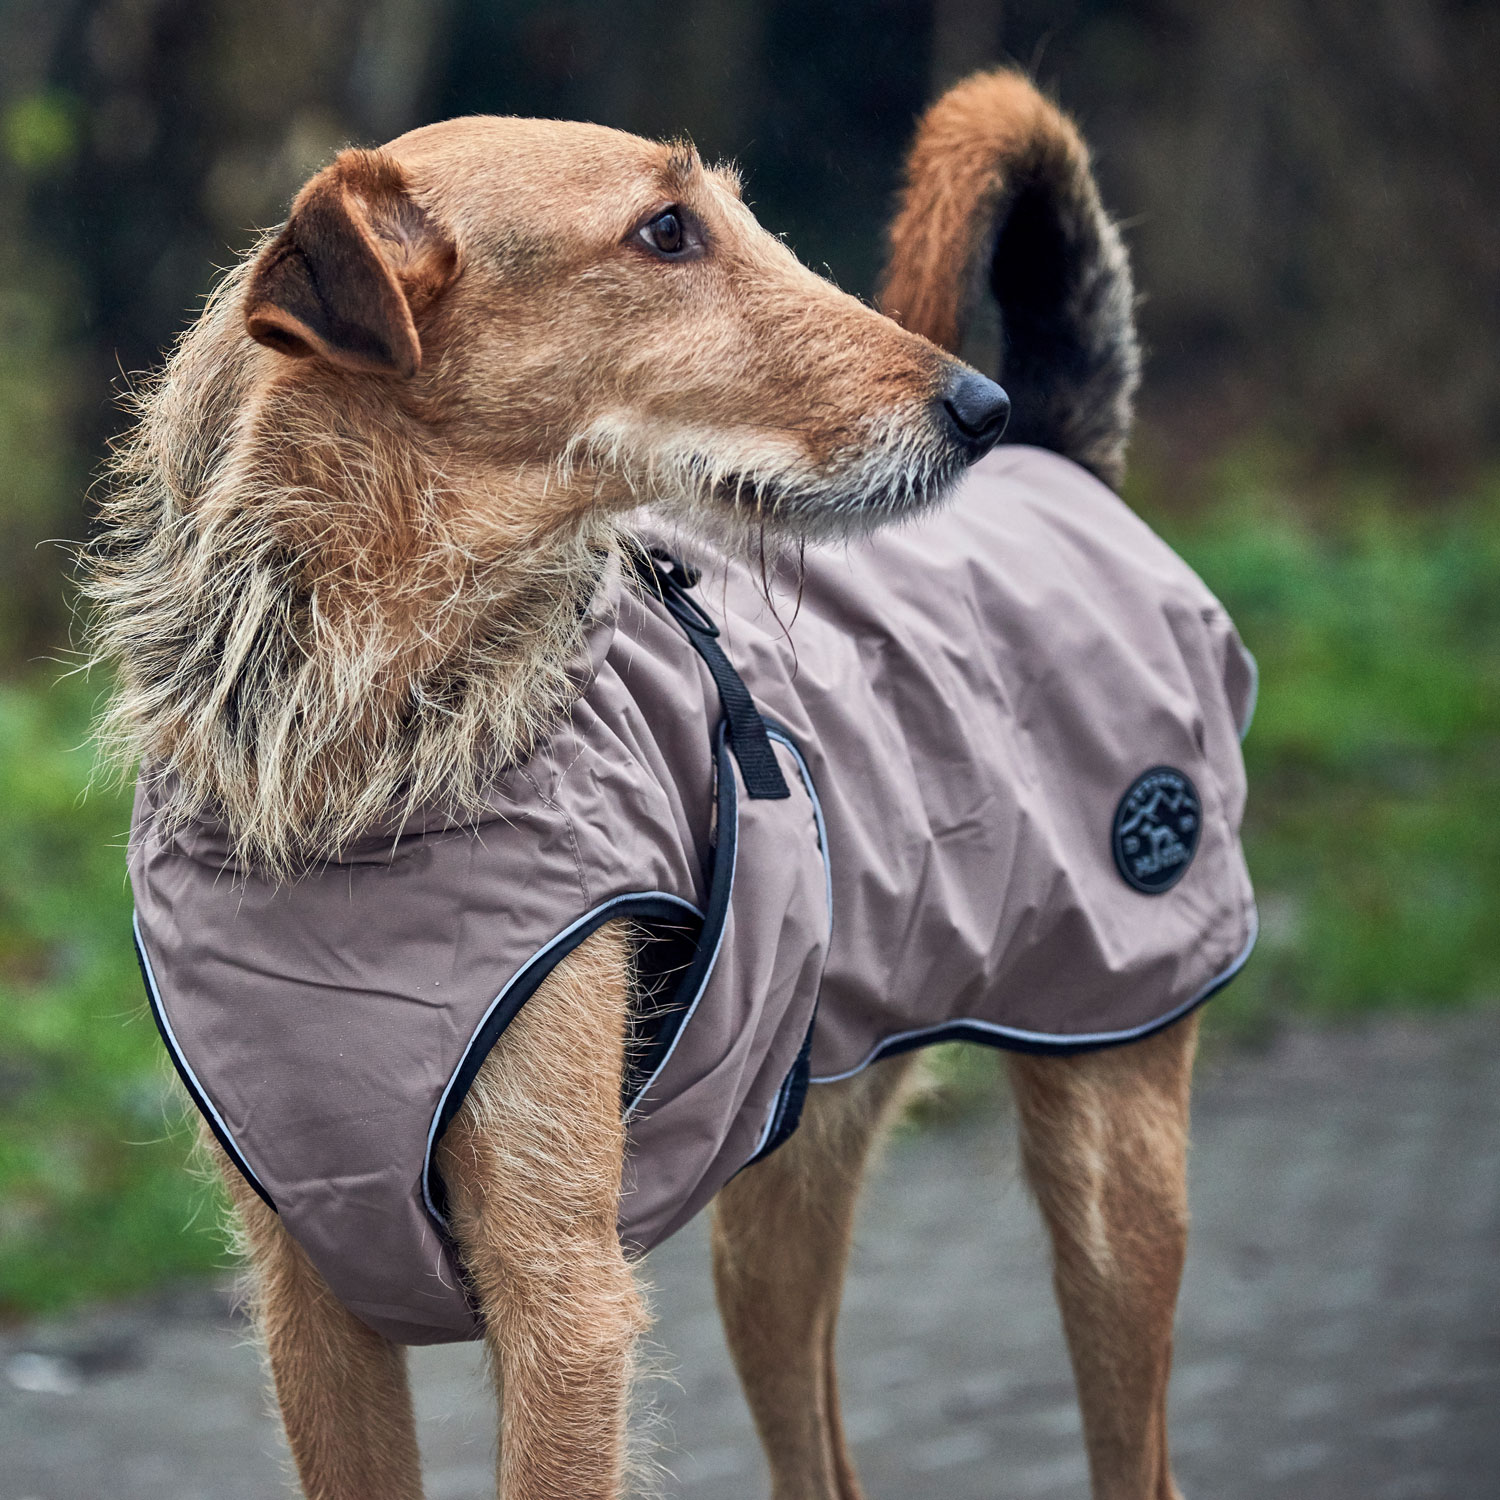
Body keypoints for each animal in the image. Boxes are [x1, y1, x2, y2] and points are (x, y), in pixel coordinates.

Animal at [93, 67, 1200, 1500]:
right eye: (666, 232)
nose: (980, 407)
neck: (362, 776)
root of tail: (1067, 461)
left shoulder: (562, 1300)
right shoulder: (314, 1301)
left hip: (1113, 1162)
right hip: (777, 1207)